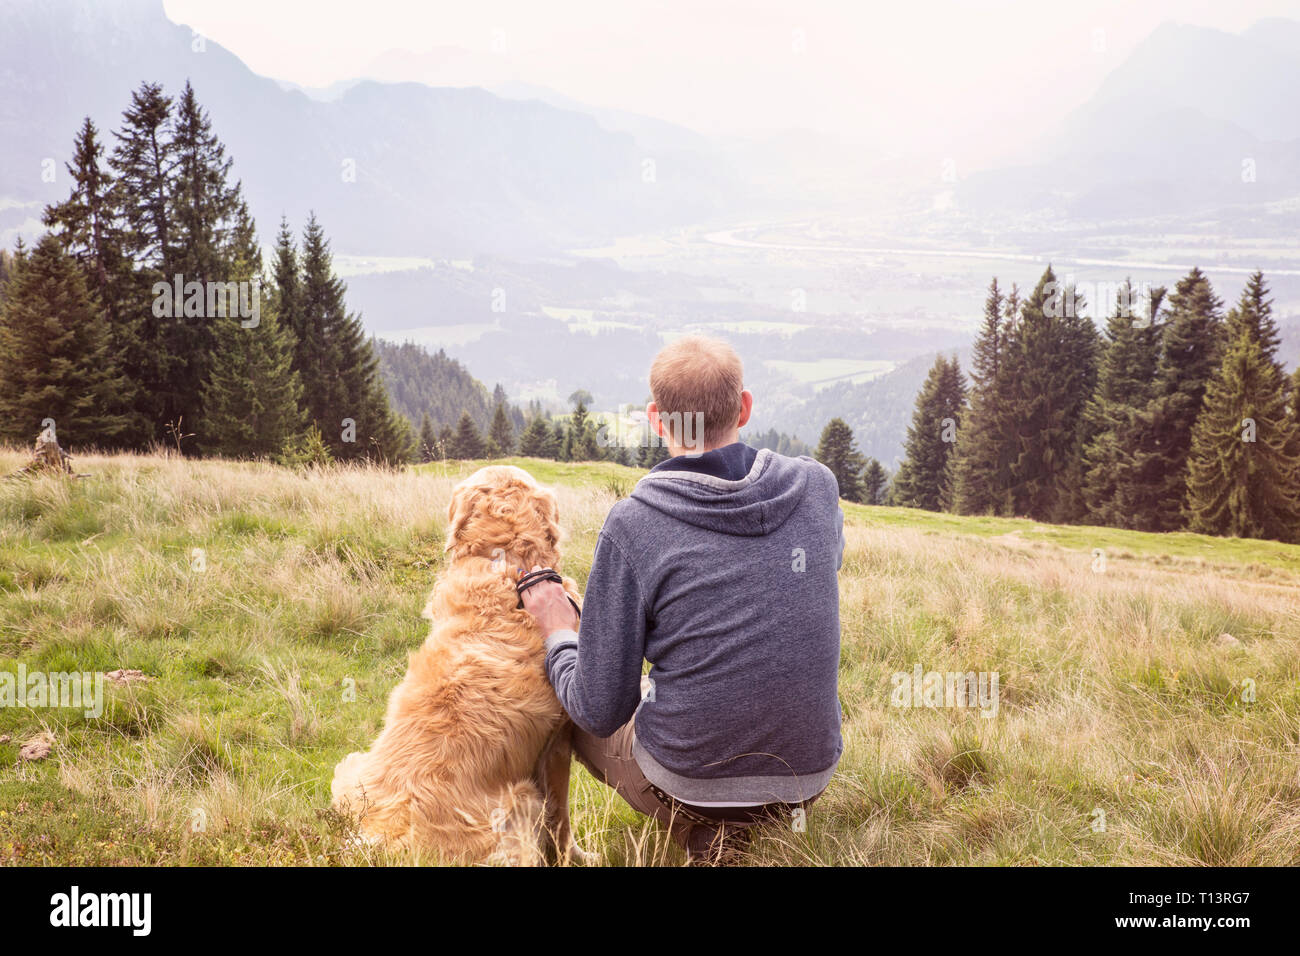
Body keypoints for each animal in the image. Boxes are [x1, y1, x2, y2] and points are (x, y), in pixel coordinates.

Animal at [327, 465, 587, 868]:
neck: (507, 562)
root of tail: (382, 842)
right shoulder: (558, 741)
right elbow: (561, 821)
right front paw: (577, 855)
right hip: (520, 803)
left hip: (350, 767)